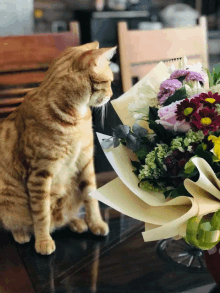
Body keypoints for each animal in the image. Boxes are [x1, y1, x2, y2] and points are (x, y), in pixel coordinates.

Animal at [0, 40, 117, 253]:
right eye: (109, 82)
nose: (112, 94)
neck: (76, 118)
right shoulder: (39, 173)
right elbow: (41, 215)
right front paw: (43, 241)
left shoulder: (86, 162)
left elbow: (91, 198)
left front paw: (95, 223)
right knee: (18, 223)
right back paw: (22, 234)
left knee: (63, 218)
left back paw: (76, 223)